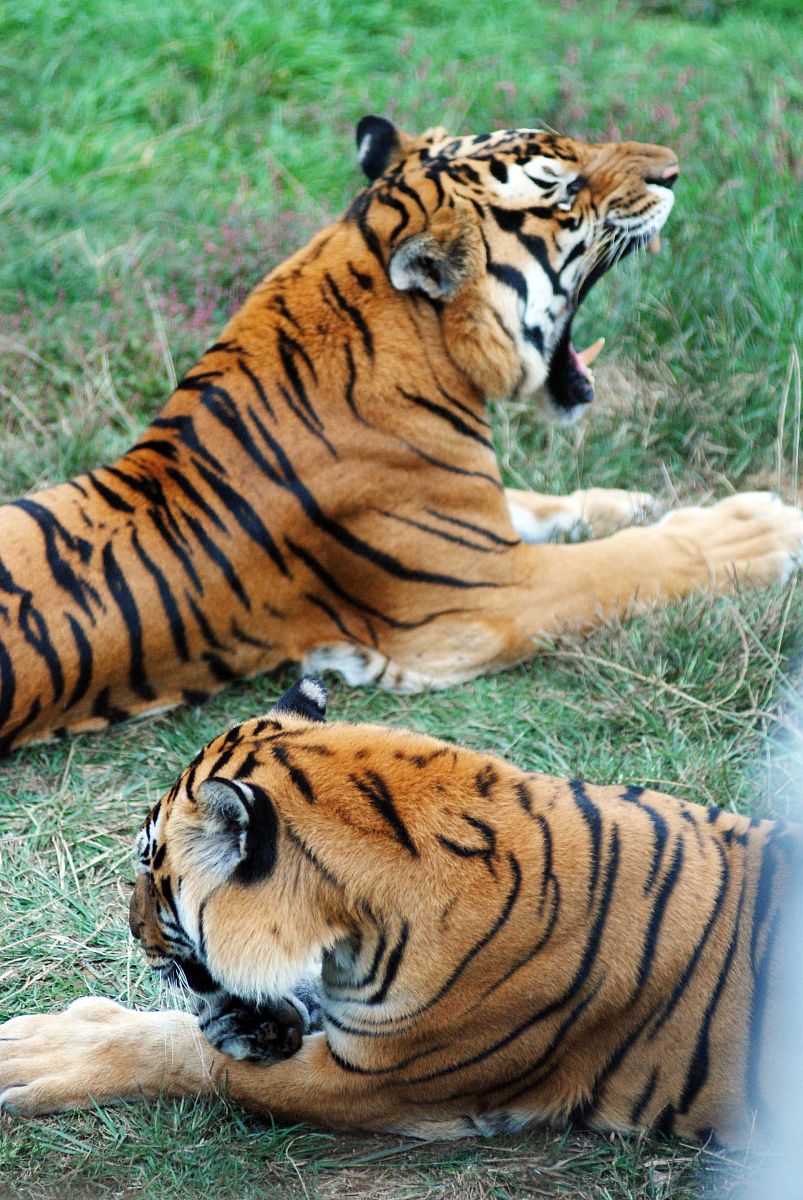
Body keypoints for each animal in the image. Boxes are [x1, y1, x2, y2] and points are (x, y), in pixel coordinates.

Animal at [1, 115, 801, 755]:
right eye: (564, 188)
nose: (673, 168)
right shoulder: (489, 594)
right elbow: (634, 561)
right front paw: (760, 527)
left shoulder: (475, 510)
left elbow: (544, 504)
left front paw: (634, 501)